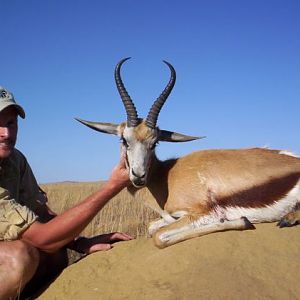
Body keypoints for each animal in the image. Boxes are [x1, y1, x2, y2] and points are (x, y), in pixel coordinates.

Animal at [77, 57, 300, 247]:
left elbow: (159, 237)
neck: (166, 177)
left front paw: (241, 221)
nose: (138, 176)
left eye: (154, 143)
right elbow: (152, 227)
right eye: (124, 140)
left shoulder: (201, 213)